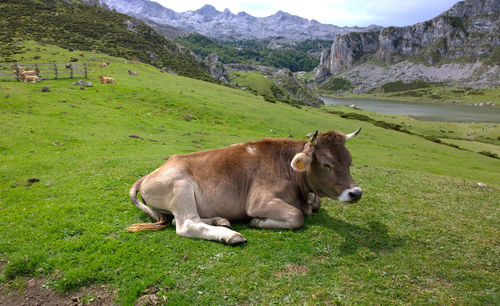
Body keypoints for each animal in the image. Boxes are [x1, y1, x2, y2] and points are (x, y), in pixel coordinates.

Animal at [128, 128, 364, 244]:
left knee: (180, 219)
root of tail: (148, 175)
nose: (356, 192)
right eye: (327, 164)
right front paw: (259, 221)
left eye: (349, 161)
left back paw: (221, 220)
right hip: (181, 185)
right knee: (187, 224)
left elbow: (313, 206)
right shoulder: (259, 201)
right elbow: (297, 216)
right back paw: (230, 235)